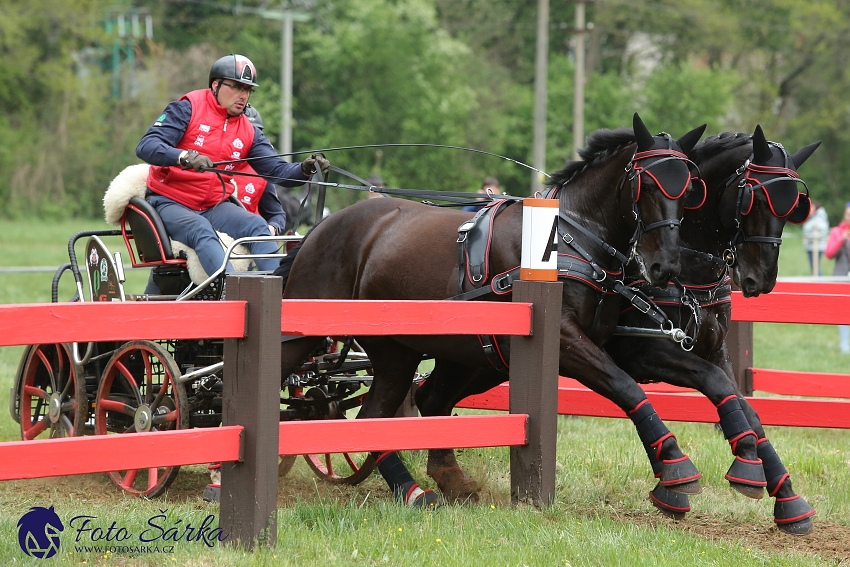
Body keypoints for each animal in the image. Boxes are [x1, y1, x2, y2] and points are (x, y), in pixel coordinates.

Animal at [276, 115, 704, 510]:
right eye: (647, 185)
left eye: (688, 191)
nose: (666, 267)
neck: (568, 237)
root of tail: (318, 230)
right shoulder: (564, 338)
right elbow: (626, 386)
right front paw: (675, 467)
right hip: (308, 334)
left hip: (412, 351)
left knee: (388, 410)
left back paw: (418, 487)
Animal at [604, 126, 820, 536]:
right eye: (752, 197)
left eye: (793, 207)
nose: (761, 279)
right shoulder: (649, 352)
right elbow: (715, 386)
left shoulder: (716, 351)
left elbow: (747, 410)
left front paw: (786, 496)